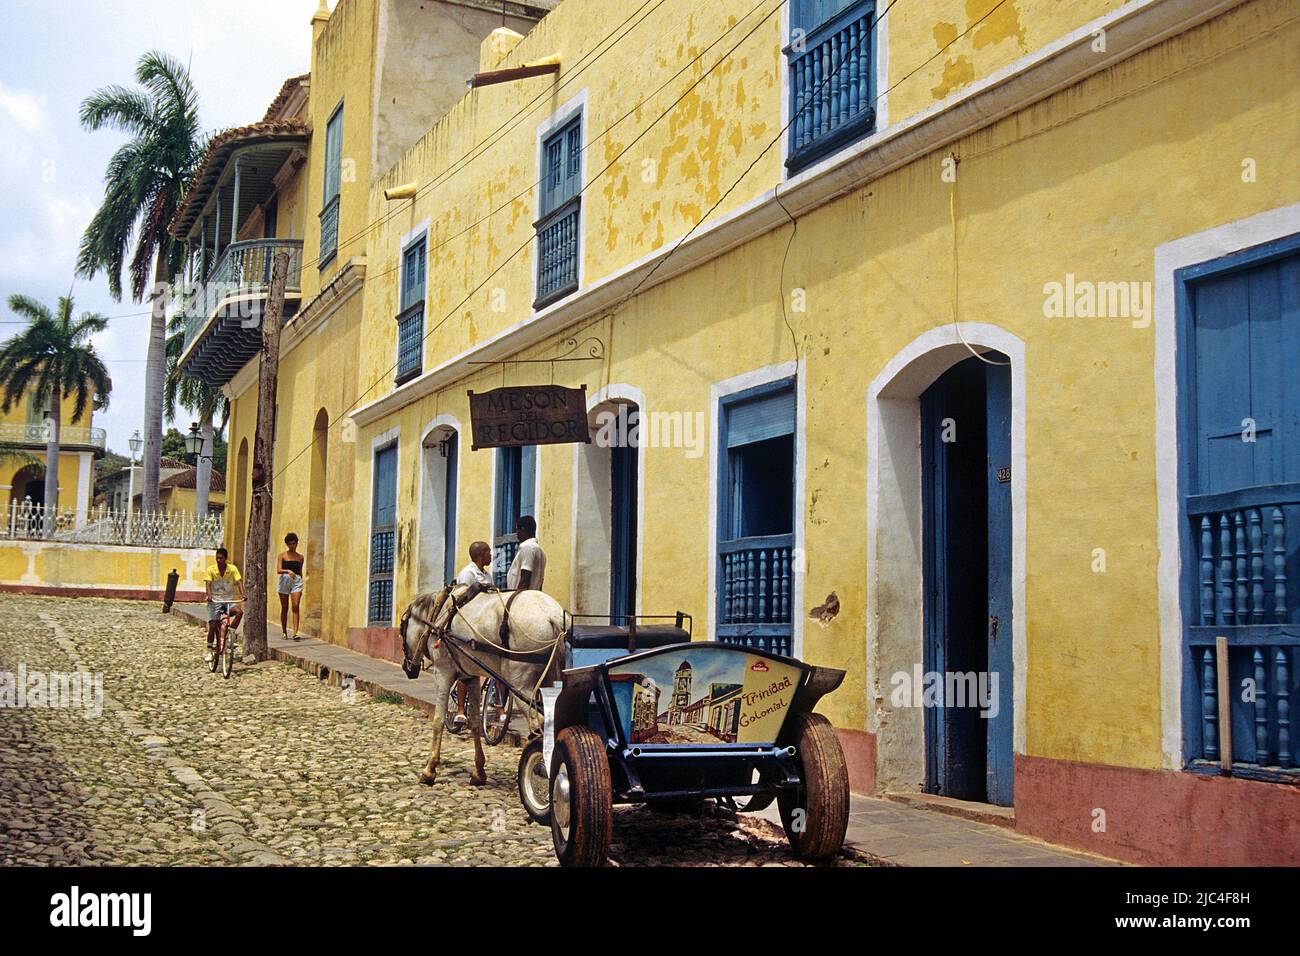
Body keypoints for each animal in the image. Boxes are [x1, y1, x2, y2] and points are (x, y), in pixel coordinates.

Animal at [397, 587, 566, 790]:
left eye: (401, 630)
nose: (407, 668)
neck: (439, 615)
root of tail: (553, 615)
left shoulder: (443, 673)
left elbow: (438, 721)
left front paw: (429, 770)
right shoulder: (470, 677)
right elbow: (475, 723)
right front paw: (479, 773)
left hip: (520, 684)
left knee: (538, 724)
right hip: (549, 681)